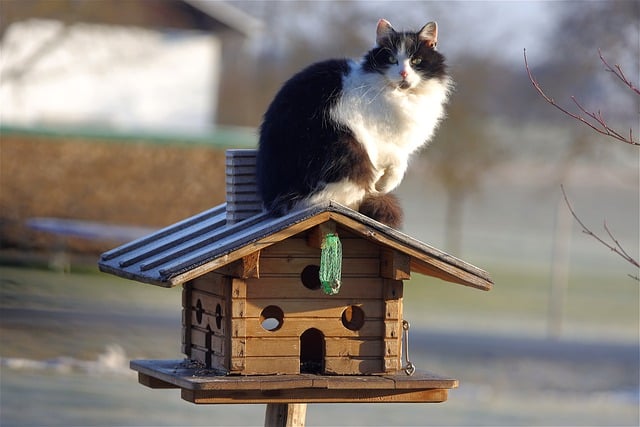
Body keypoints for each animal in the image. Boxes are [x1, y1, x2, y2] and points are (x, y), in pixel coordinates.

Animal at [255, 19, 450, 231]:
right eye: (391, 59)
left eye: (416, 61)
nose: (404, 73)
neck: (402, 96)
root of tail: (276, 203)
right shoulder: (381, 141)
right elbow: (399, 164)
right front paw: (384, 185)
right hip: (346, 149)